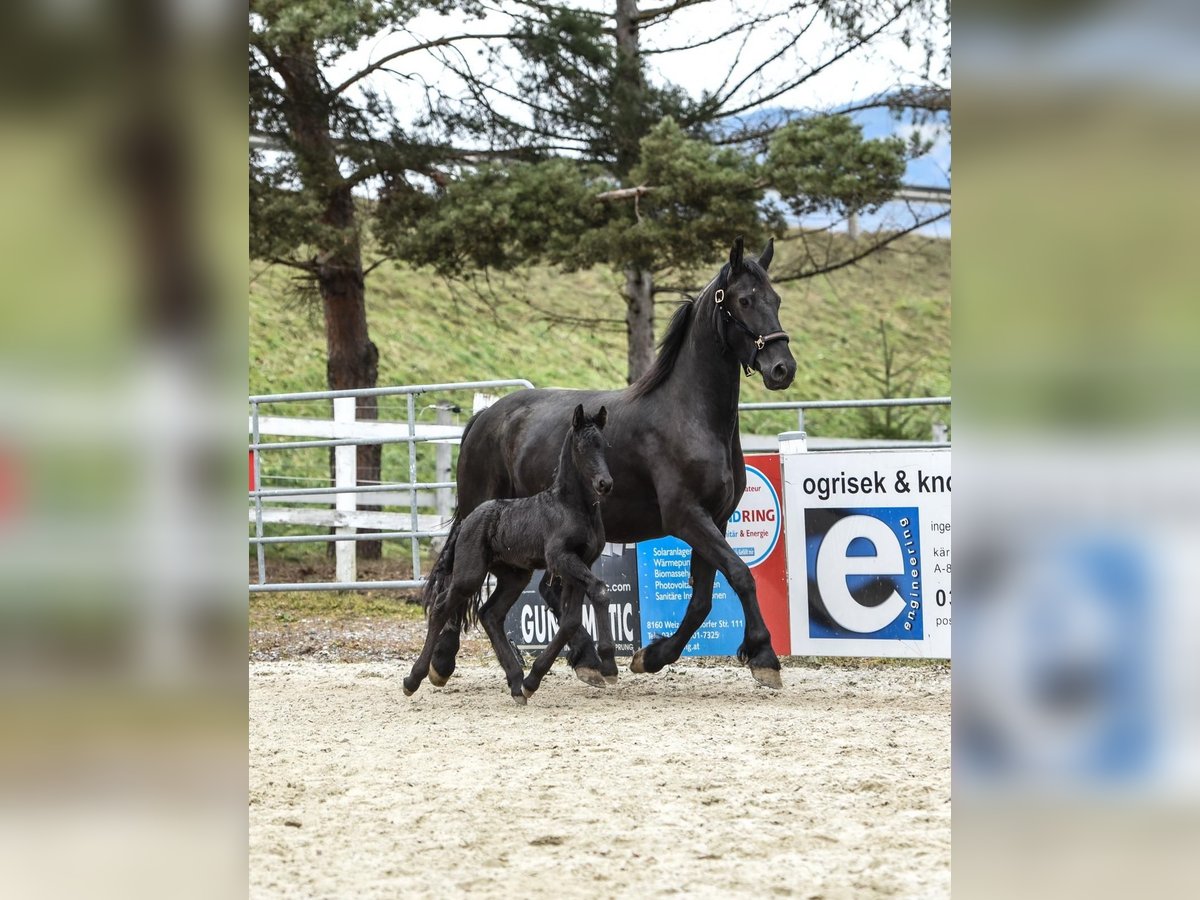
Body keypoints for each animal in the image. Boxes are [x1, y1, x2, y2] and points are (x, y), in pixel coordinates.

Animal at [404, 405, 614, 704]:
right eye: (582, 447)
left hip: (515, 576)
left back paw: (517, 683)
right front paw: (608, 662)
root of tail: (467, 518)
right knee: (443, 606)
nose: (604, 483)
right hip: (470, 574)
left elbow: (571, 620)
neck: (571, 506)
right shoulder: (561, 559)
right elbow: (599, 591)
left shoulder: (579, 564)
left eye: (603, 445)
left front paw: (534, 679)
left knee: (490, 614)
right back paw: (413, 678)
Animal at [423, 235, 797, 690]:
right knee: (456, 584)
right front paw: (764, 656)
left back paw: (587, 660)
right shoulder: (687, 517)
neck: (690, 414)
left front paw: (651, 656)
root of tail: (487, 415)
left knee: (547, 593)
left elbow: (702, 600)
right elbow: (741, 575)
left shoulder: (717, 519)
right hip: (483, 516)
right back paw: (443, 661)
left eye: (775, 298)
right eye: (744, 300)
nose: (782, 368)